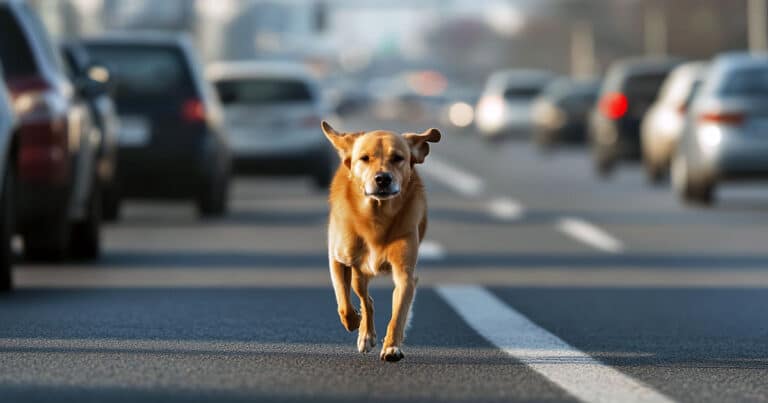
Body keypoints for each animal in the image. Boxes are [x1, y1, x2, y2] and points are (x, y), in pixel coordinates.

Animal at [320, 120, 440, 362]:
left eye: (398, 158)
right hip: (358, 272)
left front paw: (392, 347)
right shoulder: (338, 259)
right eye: (365, 158)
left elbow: (399, 312)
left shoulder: (405, 273)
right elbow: (344, 303)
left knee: (369, 299)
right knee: (364, 298)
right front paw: (354, 321)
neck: (376, 217)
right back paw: (364, 333)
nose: (383, 178)